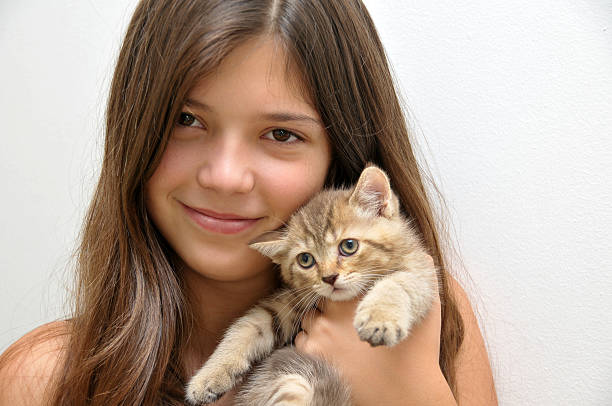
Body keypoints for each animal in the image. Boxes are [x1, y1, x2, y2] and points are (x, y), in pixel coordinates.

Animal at [184, 166, 438, 406]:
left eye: (349, 246)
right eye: (305, 260)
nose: (329, 278)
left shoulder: (421, 271)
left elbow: (398, 284)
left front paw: (379, 320)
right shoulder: (295, 301)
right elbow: (249, 326)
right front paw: (208, 377)